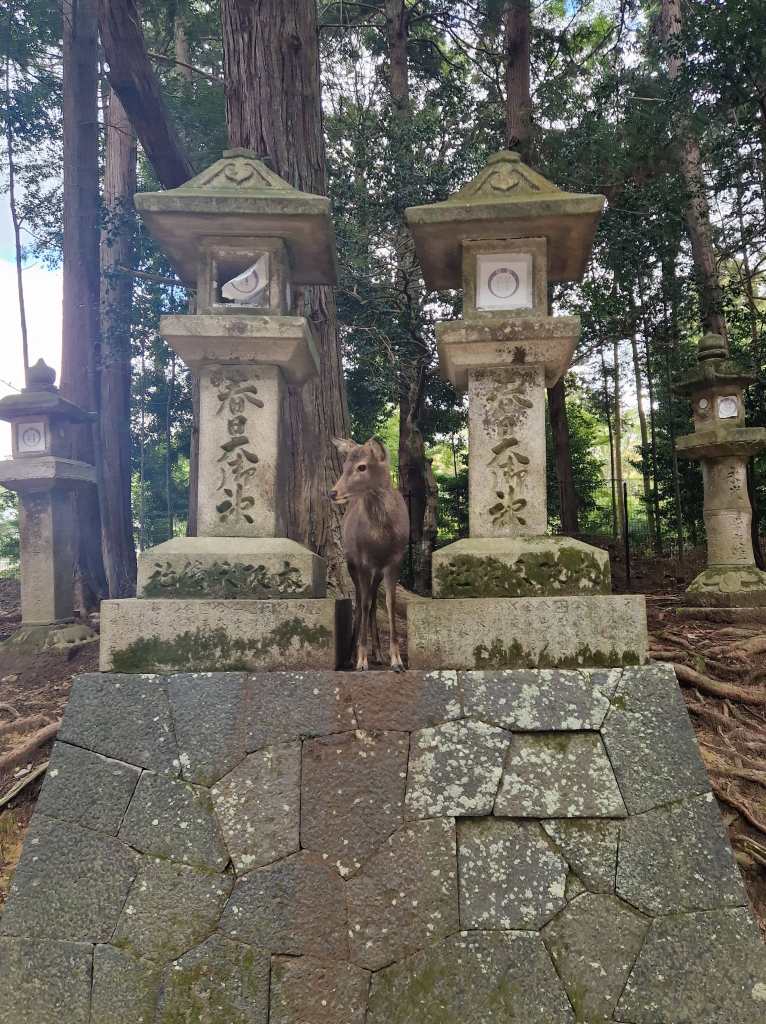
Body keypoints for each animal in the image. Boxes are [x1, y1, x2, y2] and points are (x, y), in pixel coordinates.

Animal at [329, 437, 409, 672]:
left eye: (362, 466)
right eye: (344, 465)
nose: (332, 492)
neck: (381, 537)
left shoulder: (395, 561)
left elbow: (390, 604)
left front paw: (397, 661)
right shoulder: (362, 561)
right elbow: (363, 604)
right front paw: (361, 660)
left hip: (377, 571)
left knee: (373, 600)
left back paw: (379, 653)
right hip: (352, 563)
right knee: (361, 600)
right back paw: (351, 655)